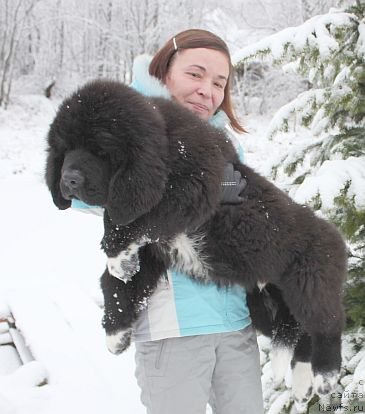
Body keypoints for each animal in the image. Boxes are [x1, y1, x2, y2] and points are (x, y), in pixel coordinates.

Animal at [46, 79, 346, 400]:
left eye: (101, 151)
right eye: (64, 149)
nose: (69, 180)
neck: (165, 146)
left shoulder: (193, 188)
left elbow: (126, 216)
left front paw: (115, 256)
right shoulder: (154, 251)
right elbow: (120, 281)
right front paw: (116, 330)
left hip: (310, 286)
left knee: (327, 325)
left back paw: (326, 375)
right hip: (264, 306)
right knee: (300, 335)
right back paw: (302, 381)